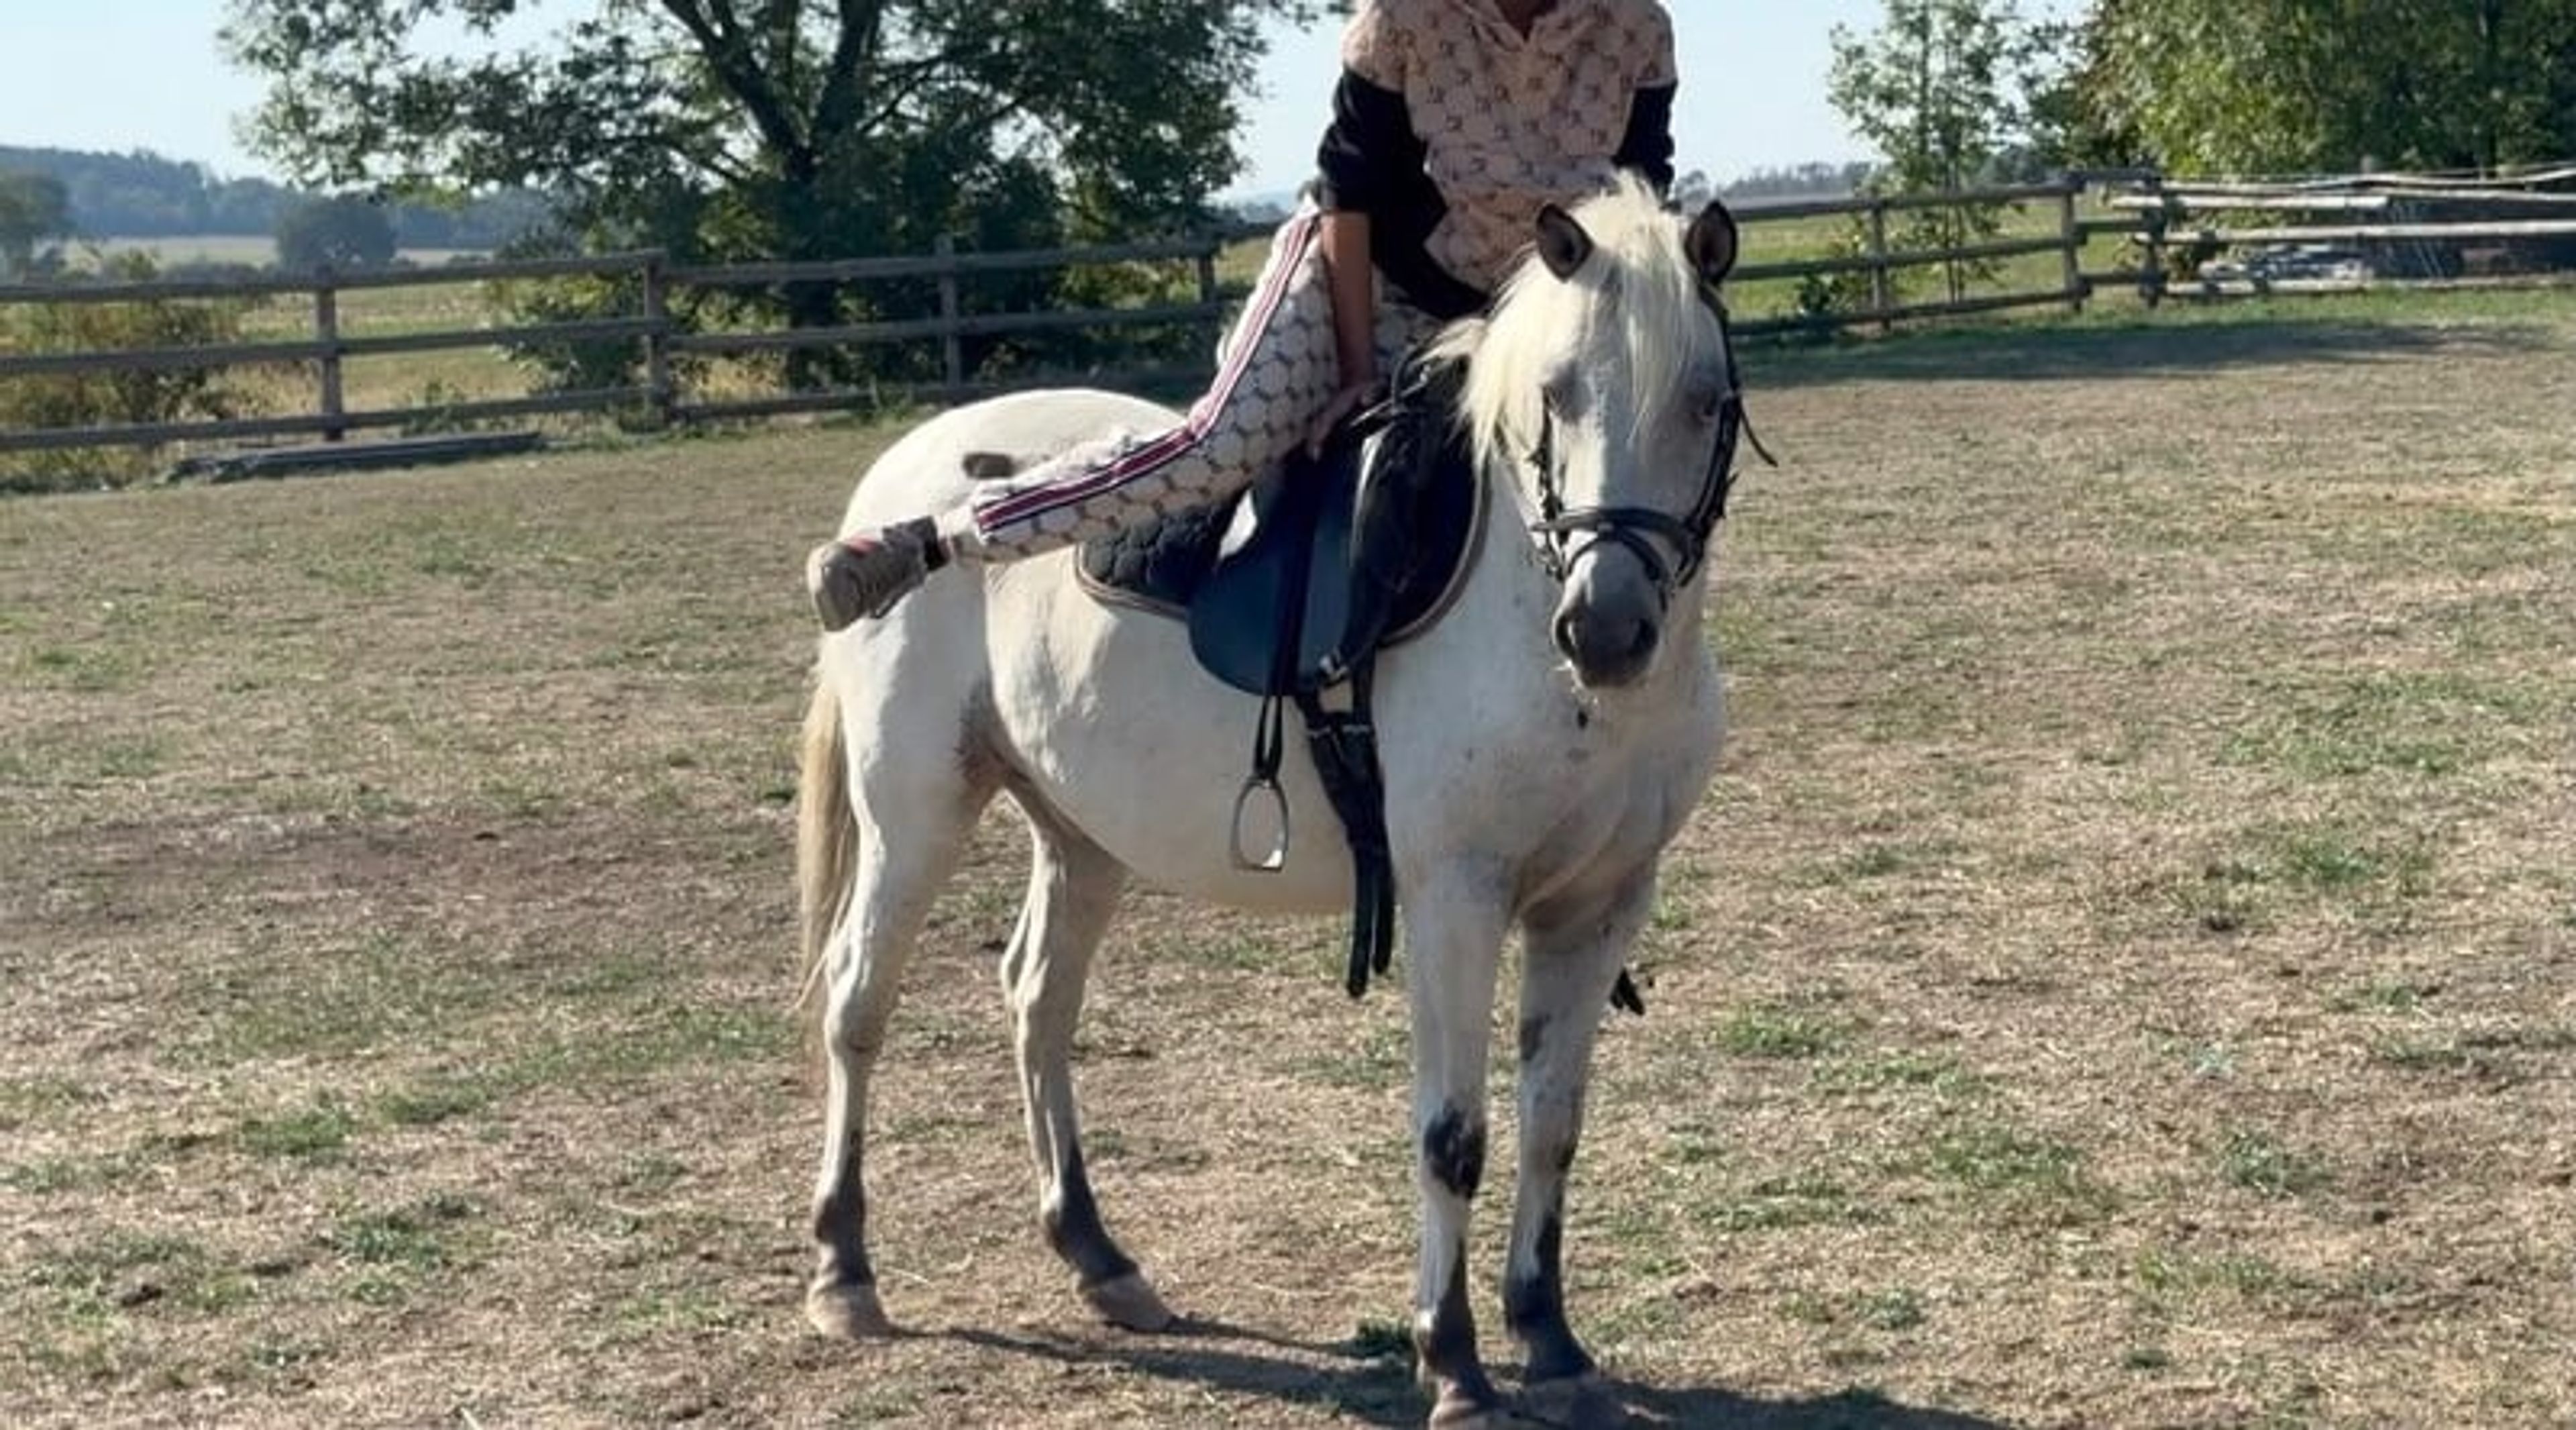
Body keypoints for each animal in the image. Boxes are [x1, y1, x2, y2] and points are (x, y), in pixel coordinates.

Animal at [795, 177, 1751, 1429]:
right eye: (1557, 394)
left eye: (1706, 399)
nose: (1607, 627)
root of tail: (903, 467)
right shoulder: (1454, 899)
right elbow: (1454, 1134)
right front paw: (1452, 1362)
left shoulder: (1600, 905)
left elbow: (1554, 1124)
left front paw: (1551, 1340)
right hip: (914, 810)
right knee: (859, 1001)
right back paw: (844, 1268)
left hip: (1082, 835)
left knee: (1037, 1001)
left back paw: (1100, 1257)